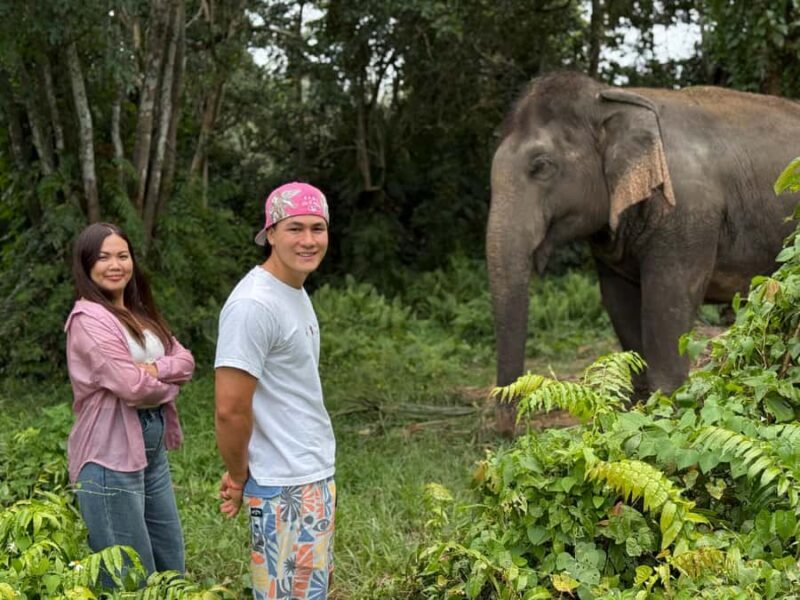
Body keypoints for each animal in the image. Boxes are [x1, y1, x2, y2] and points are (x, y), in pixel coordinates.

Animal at [487, 71, 800, 427]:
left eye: (540, 166)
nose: (510, 428)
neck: (609, 99)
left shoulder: (687, 215)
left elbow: (667, 303)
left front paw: (665, 411)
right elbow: (618, 302)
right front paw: (633, 412)